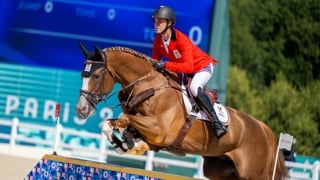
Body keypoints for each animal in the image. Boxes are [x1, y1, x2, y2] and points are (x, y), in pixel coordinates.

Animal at [74, 43, 288, 179]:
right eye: (82, 74)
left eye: (96, 75)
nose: (81, 110)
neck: (147, 84)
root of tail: (263, 129)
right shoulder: (153, 136)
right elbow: (112, 123)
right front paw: (122, 142)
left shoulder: (158, 129)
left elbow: (124, 117)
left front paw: (125, 142)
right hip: (219, 169)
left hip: (253, 173)